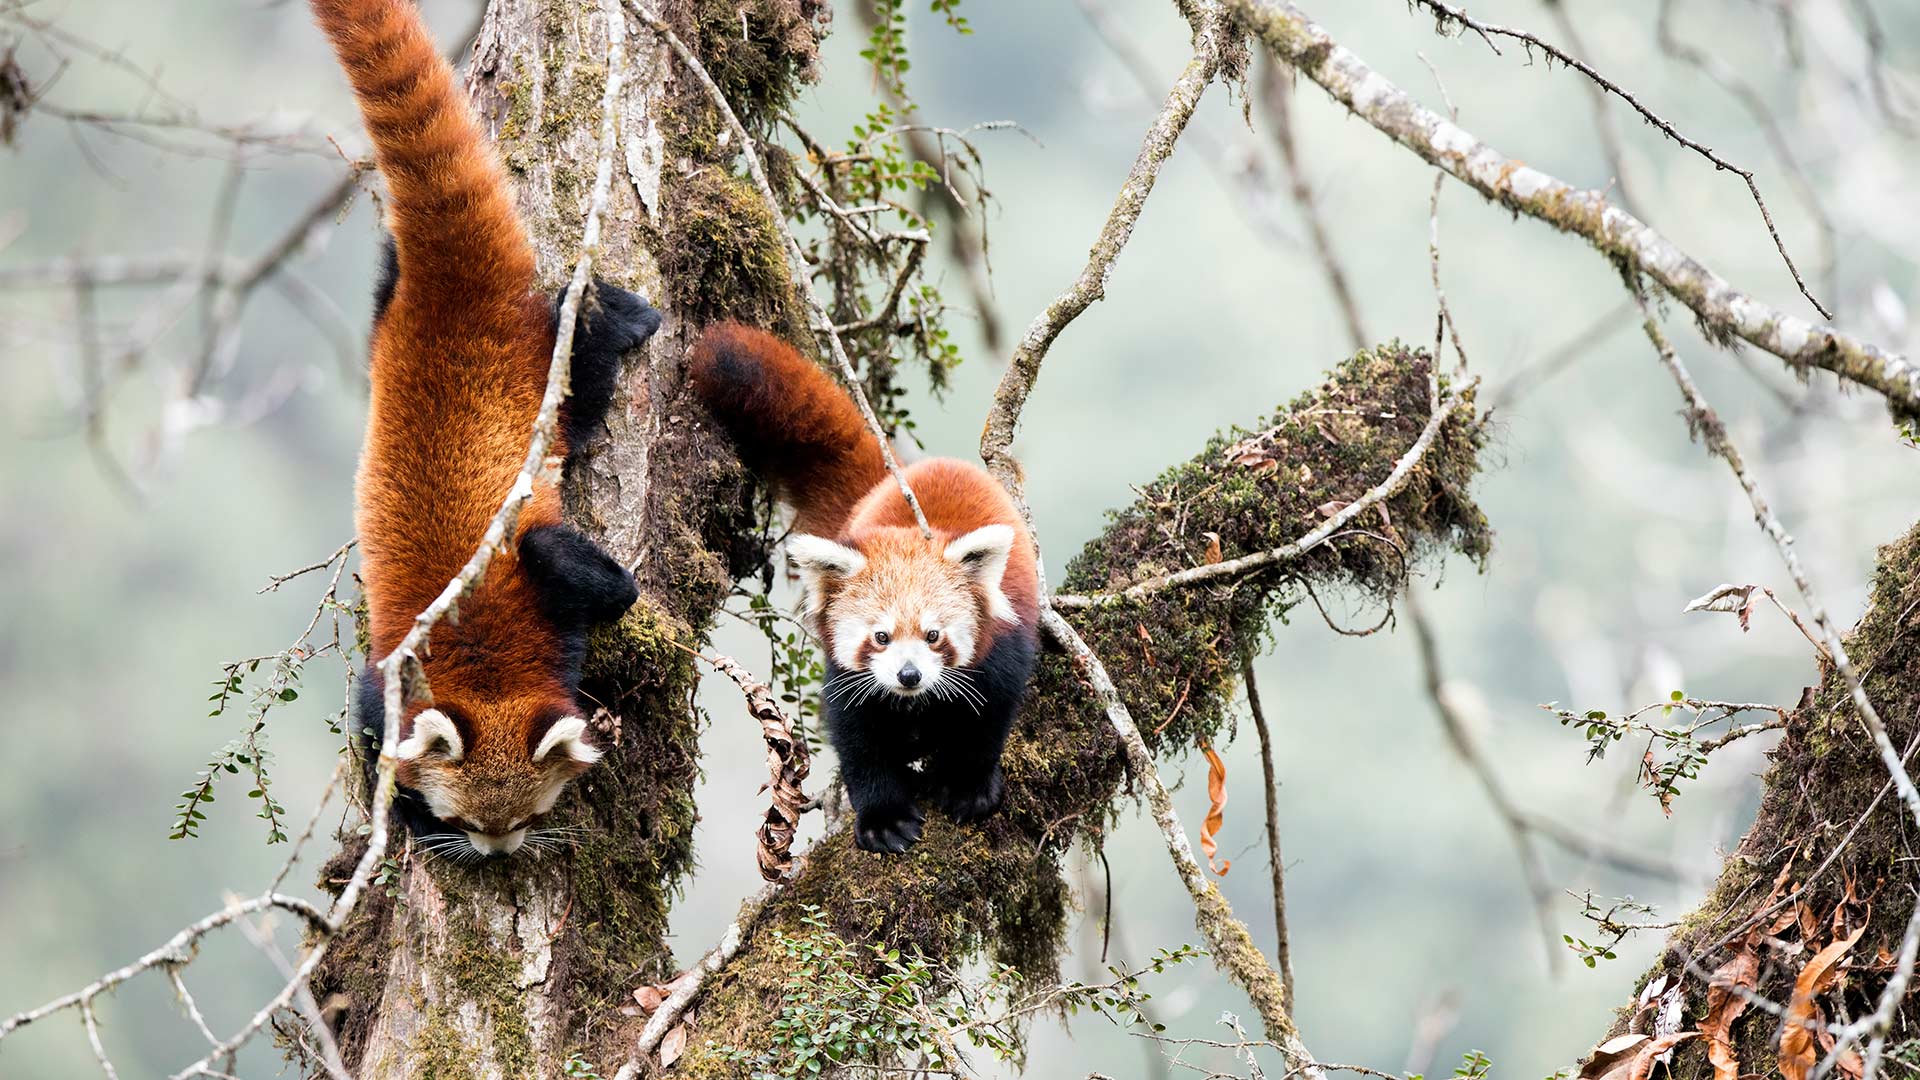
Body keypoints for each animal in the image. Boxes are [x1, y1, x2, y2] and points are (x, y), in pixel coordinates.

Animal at [303, 0, 656, 853]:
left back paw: (618, 317)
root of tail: (457, 298)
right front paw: (401, 809)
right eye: (463, 818)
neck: (487, 667)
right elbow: (373, 728)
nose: (497, 854)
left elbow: (593, 576)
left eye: (528, 817)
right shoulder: (394, 677)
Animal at [691, 320, 1044, 849]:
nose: (908, 675)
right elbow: (859, 741)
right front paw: (884, 817)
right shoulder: (849, 677)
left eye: (933, 635)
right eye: (880, 636)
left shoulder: (1002, 648)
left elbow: (986, 721)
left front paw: (966, 786)